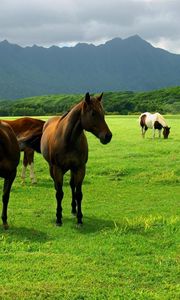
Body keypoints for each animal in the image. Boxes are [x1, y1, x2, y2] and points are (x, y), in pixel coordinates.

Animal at [40, 92, 112, 226]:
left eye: (103, 112)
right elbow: (59, 193)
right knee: (57, 187)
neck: (68, 139)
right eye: (93, 113)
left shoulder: (80, 168)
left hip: (72, 169)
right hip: (52, 168)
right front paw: (58, 218)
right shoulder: (57, 169)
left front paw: (79, 218)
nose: (108, 136)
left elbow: (78, 194)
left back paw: (74, 209)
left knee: (72, 185)